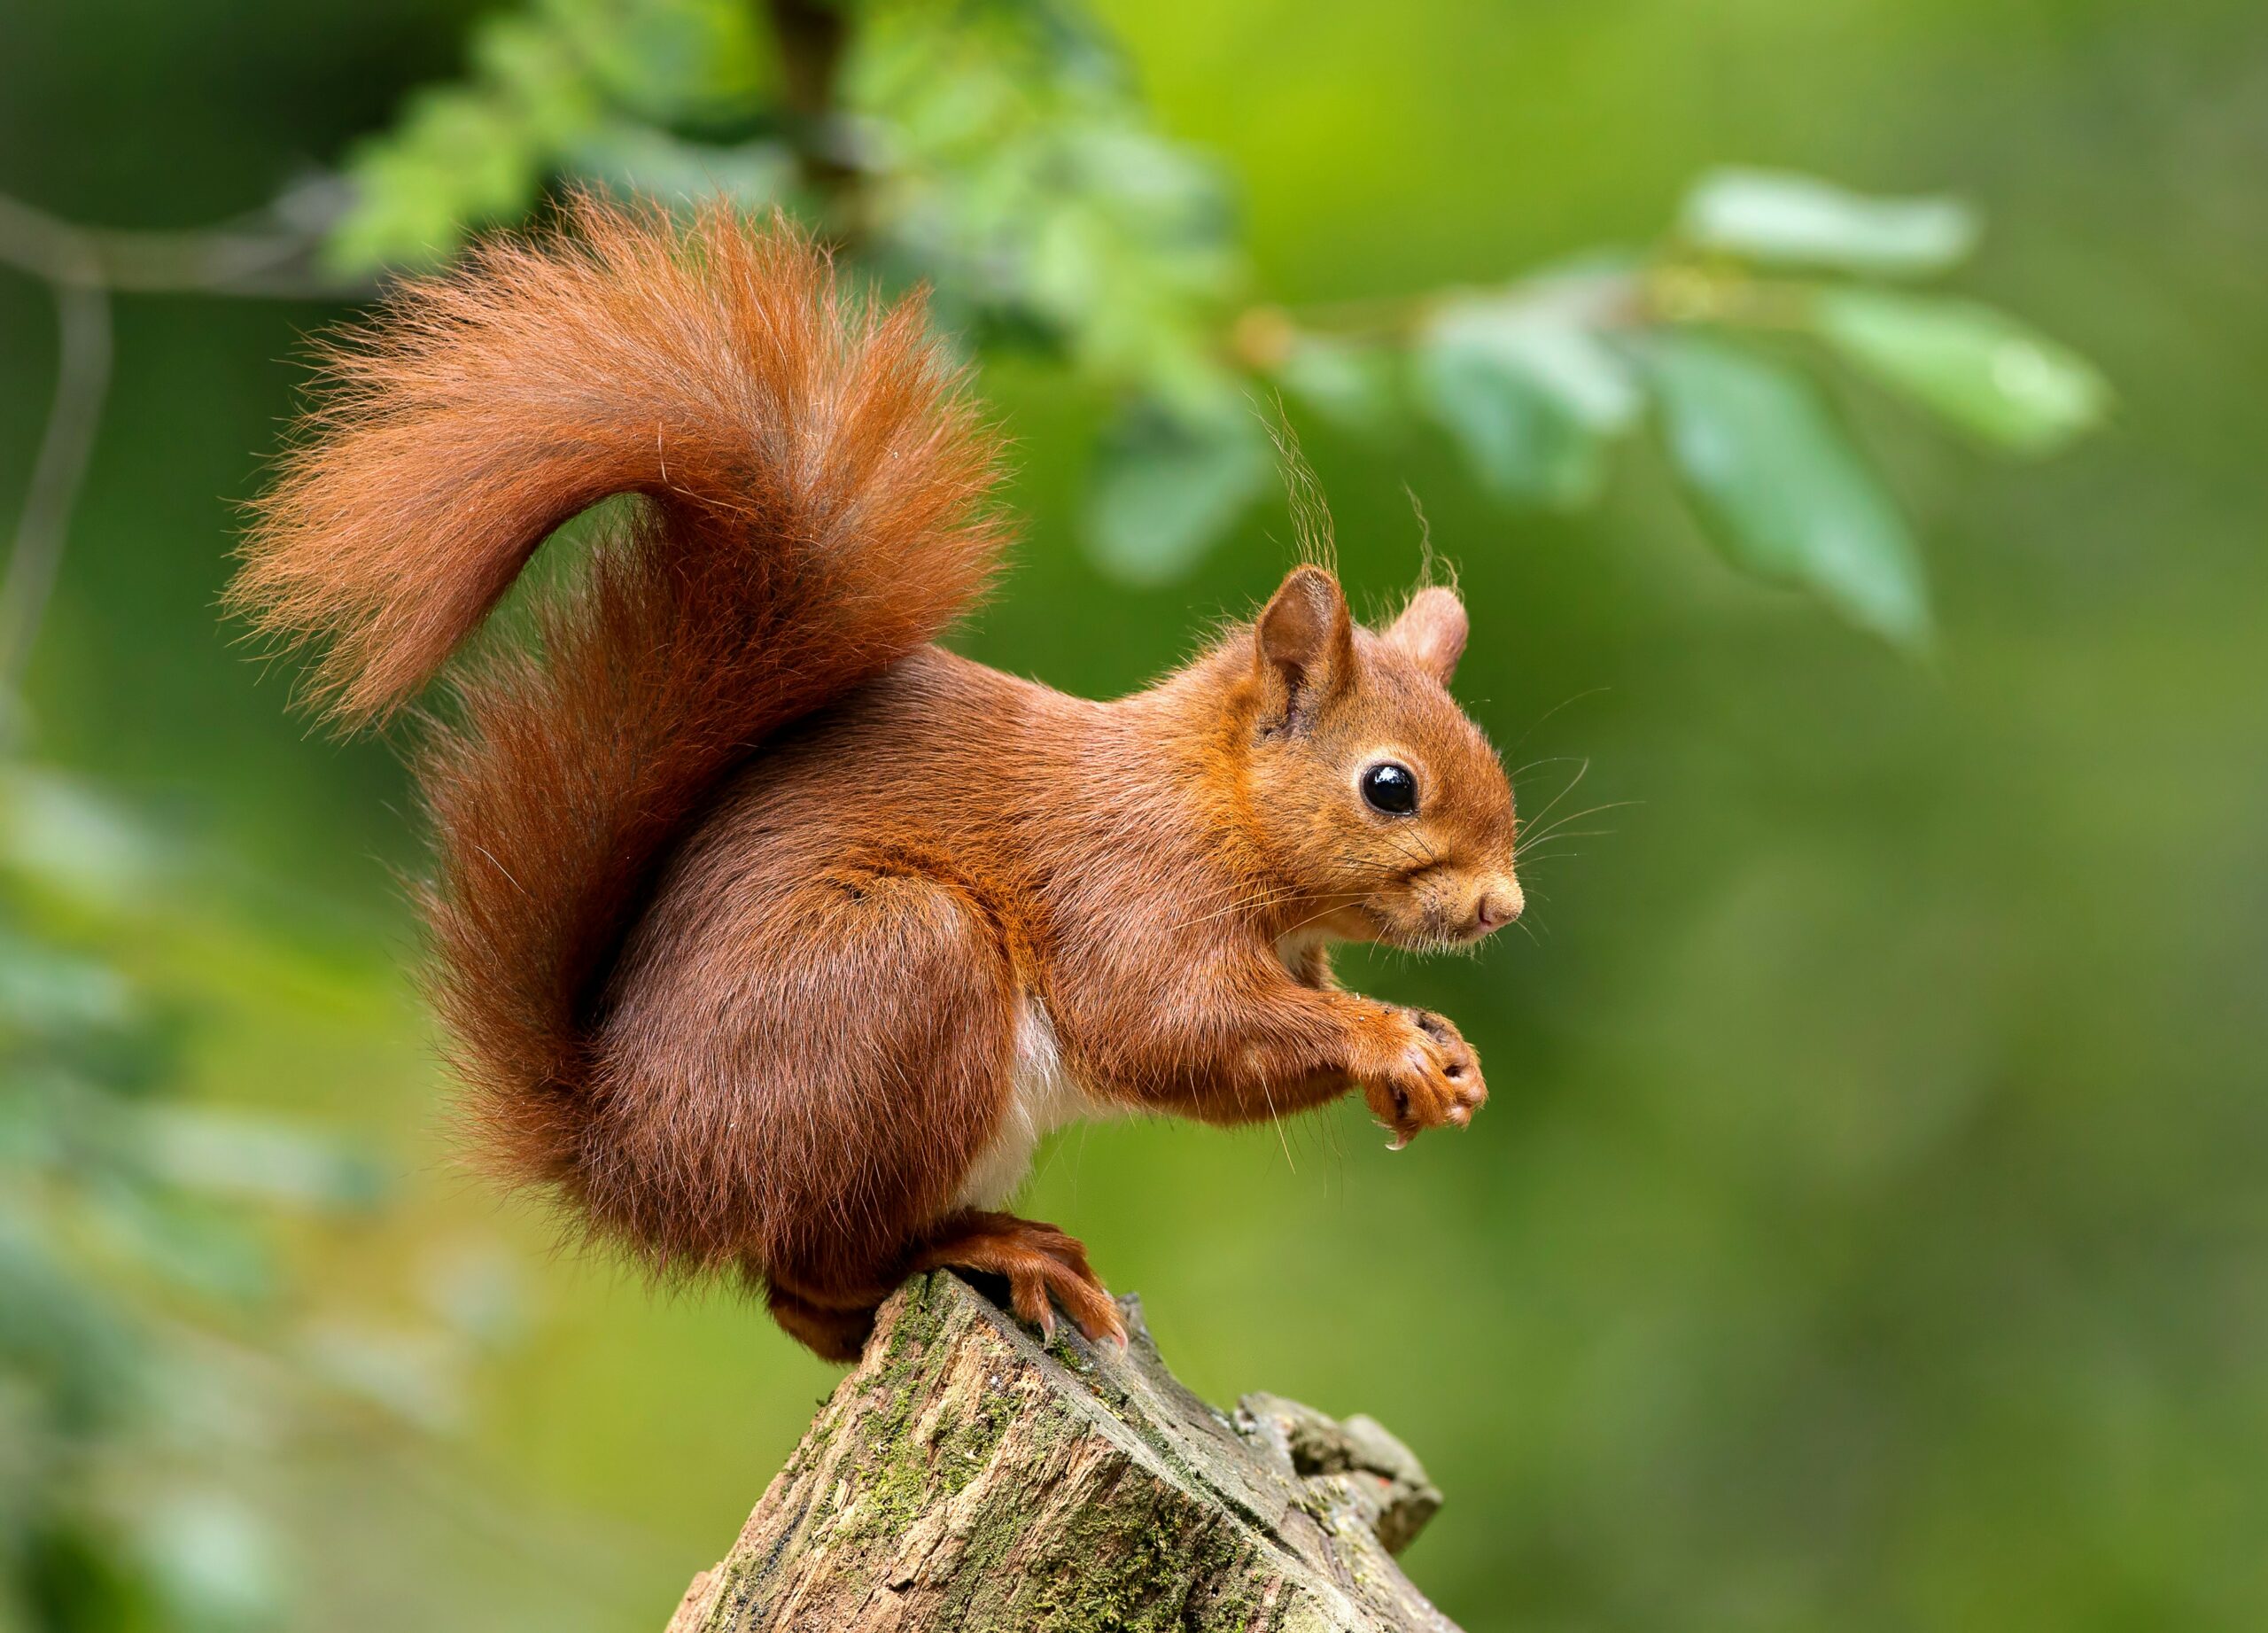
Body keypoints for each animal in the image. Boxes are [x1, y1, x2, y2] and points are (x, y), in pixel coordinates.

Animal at [229, 197, 1524, 1360]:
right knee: (816, 1267)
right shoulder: (1127, 888)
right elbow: (1169, 1027)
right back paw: (987, 1245)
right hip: (901, 974)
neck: (1211, 806)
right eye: (1390, 786)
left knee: (802, 1306)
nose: (1502, 905)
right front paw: (1387, 1041)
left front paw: (1440, 1053)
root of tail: (634, 1162)